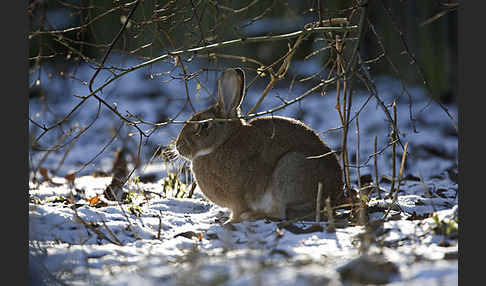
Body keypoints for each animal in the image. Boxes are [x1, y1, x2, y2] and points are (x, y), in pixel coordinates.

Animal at [175, 67, 346, 223]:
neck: (224, 141)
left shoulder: (238, 199)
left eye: (204, 125)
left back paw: (252, 216)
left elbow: (238, 211)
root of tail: (335, 196)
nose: (178, 146)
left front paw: (231, 221)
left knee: (282, 213)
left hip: (290, 169)